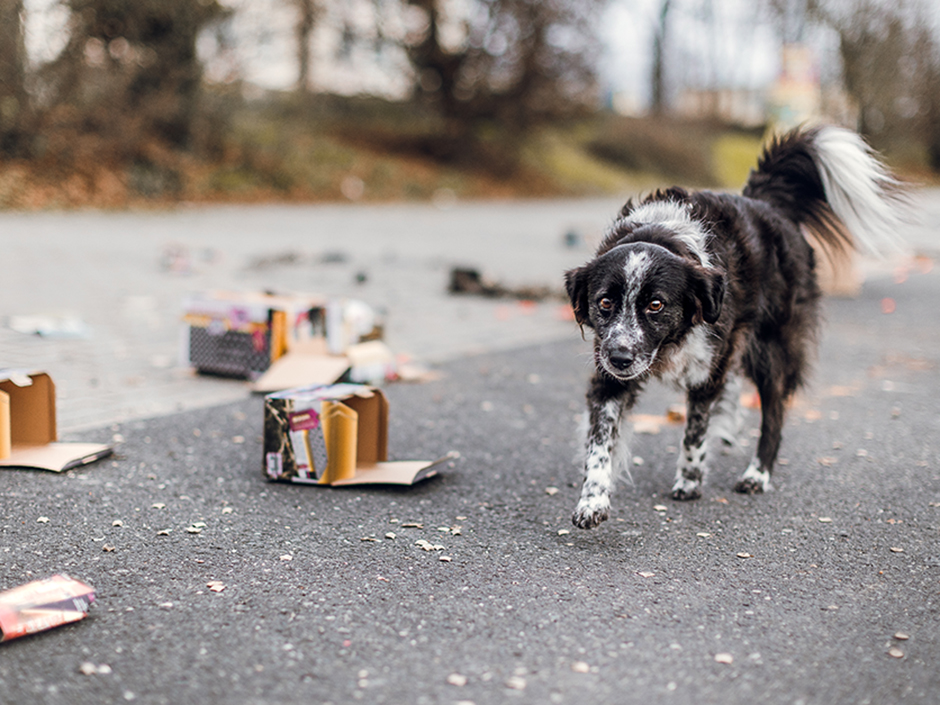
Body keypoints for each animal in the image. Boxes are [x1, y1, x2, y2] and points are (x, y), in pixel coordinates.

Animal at [564, 125, 904, 528]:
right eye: (604, 303)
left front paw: (690, 480)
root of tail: (765, 202)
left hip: (771, 350)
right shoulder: (610, 377)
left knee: (774, 415)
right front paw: (593, 500)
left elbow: (694, 432)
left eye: (655, 305)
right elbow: (600, 443)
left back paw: (757, 474)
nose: (619, 358)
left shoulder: (706, 370)